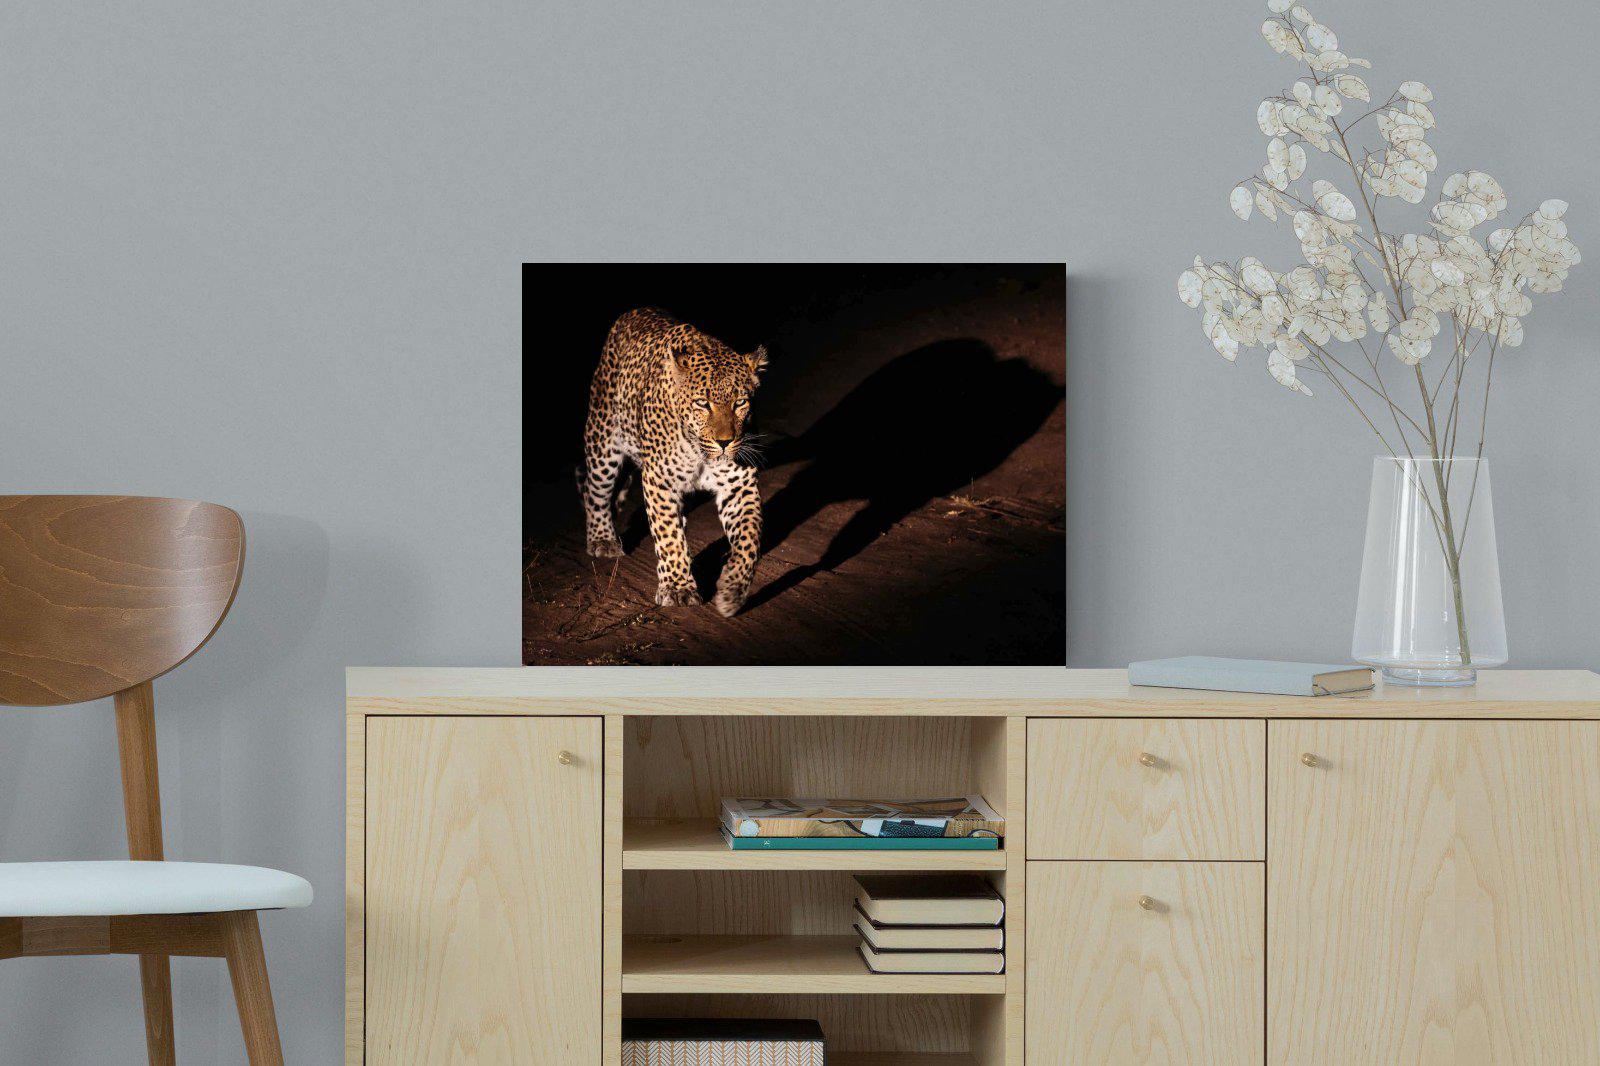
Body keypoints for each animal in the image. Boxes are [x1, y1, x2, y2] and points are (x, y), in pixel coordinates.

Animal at [580, 307, 767, 618]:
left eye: (741, 403)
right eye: (703, 403)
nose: (725, 442)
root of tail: (634, 311)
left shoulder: (738, 485)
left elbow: (749, 539)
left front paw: (732, 590)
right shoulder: (659, 481)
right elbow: (667, 536)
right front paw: (678, 588)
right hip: (602, 441)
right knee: (594, 492)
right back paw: (602, 539)